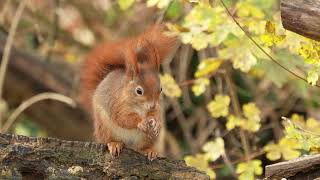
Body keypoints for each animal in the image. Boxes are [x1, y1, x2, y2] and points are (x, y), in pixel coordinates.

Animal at [79, 24, 176, 160]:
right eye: (139, 91)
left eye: (161, 89)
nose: (151, 105)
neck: (140, 107)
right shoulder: (116, 105)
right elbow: (123, 119)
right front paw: (141, 122)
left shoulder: (158, 106)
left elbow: (156, 114)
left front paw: (156, 122)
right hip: (105, 128)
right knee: (109, 139)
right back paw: (114, 144)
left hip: (148, 138)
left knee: (141, 147)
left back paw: (150, 150)